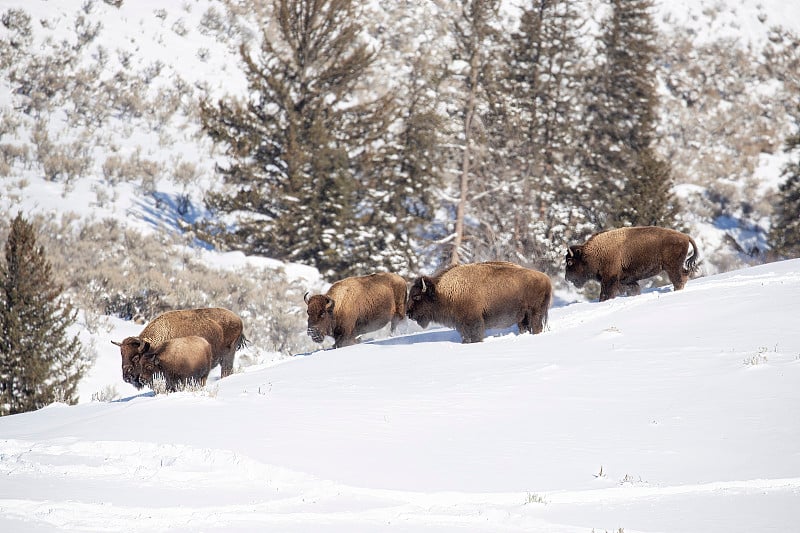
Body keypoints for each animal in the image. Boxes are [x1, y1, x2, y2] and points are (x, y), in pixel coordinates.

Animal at [406, 260, 552, 342]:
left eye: (416, 297)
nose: (408, 313)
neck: (443, 291)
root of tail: (546, 279)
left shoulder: (471, 320)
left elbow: (474, 334)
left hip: (535, 313)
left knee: (536, 327)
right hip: (522, 317)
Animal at [564, 223, 700, 300]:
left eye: (570, 262)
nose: (567, 278)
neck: (592, 253)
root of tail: (685, 236)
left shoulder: (609, 278)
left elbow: (605, 294)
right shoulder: (626, 280)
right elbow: (633, 288)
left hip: (672, 267)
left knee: (678, 279)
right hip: (675, 266)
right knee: (684, 275)